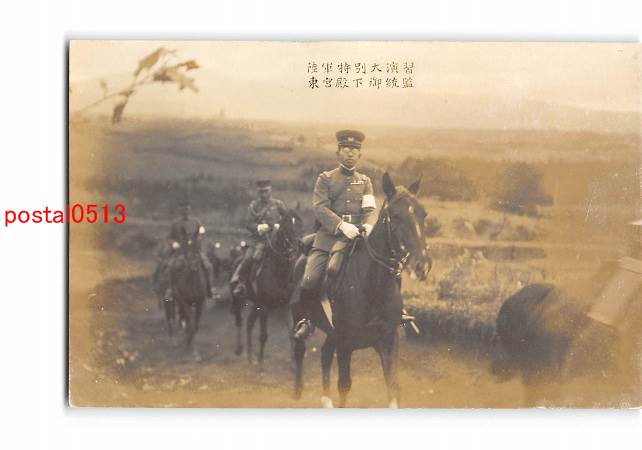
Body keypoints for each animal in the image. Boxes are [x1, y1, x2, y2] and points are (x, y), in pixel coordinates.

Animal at [169, 228, 210, 361]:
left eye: (198, 246)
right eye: (186, 247)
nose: (194, 265)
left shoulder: (200, 302)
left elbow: (195, 325)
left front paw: (192, 347)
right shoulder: (184, 301)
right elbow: (190, 324)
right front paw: (193, 352)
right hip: (178, 299)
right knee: (183, 318)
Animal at [230, 206, 304, 367]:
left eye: (300, 223)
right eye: (286, 226)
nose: (298, 247)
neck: (278, 272)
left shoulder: (285, 305)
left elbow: (291, 332)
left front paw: (294, 363)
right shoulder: (264, 306)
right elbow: (263, 335)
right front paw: (260, 363)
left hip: (255, 303)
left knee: (249, 323)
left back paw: (250, 357)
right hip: (238, 300)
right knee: (239, 321)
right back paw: (240, 350)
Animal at [291, 172, 432, 408]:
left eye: (423, 214)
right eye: (395, 216)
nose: (423, 266)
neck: (372, 286)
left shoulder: (388, 342)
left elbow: (393, 387)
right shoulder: (345, 343)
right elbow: (344, 385)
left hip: (332, 334)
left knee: (325, 353)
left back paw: (325, 400)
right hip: (300, 318)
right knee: (299, 351)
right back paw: (298, 394)